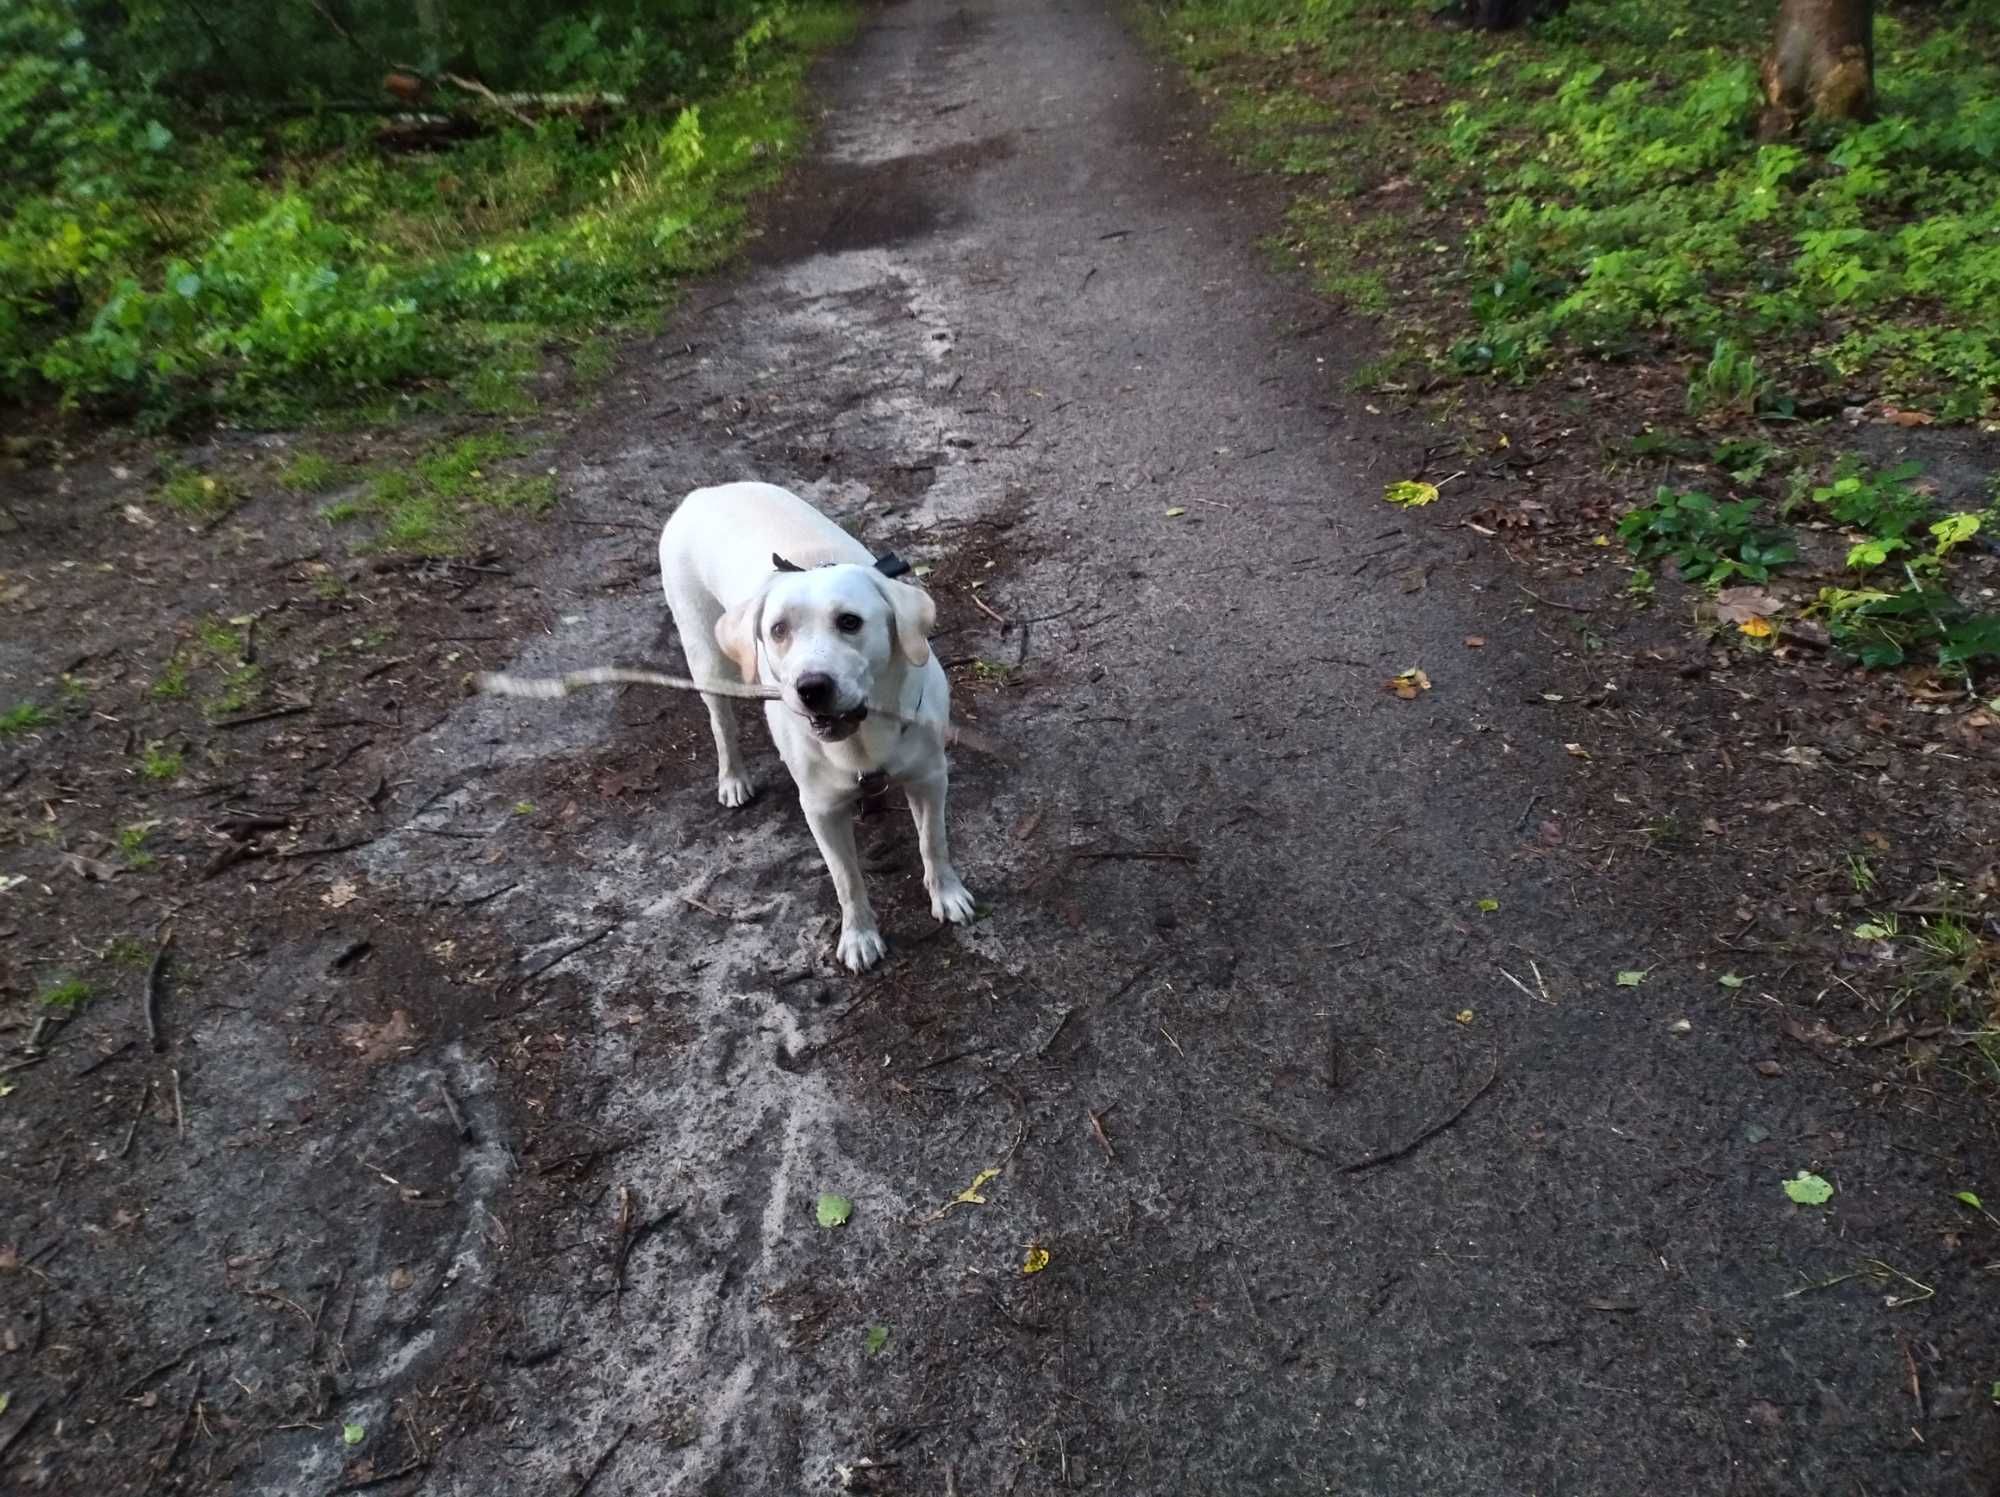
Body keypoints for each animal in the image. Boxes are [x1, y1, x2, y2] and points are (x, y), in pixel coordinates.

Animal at [664, 482, 976, 972]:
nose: (811, 687)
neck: (864, 736)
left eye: (850, 621)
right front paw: (859, 936)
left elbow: (933, 842)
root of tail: (705, 491)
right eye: (777, 630)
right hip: (707, 661)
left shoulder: (928, 778)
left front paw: (946, 894)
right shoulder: (822, 809)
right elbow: (846, 879)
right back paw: (733, 778)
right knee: (721, 724)